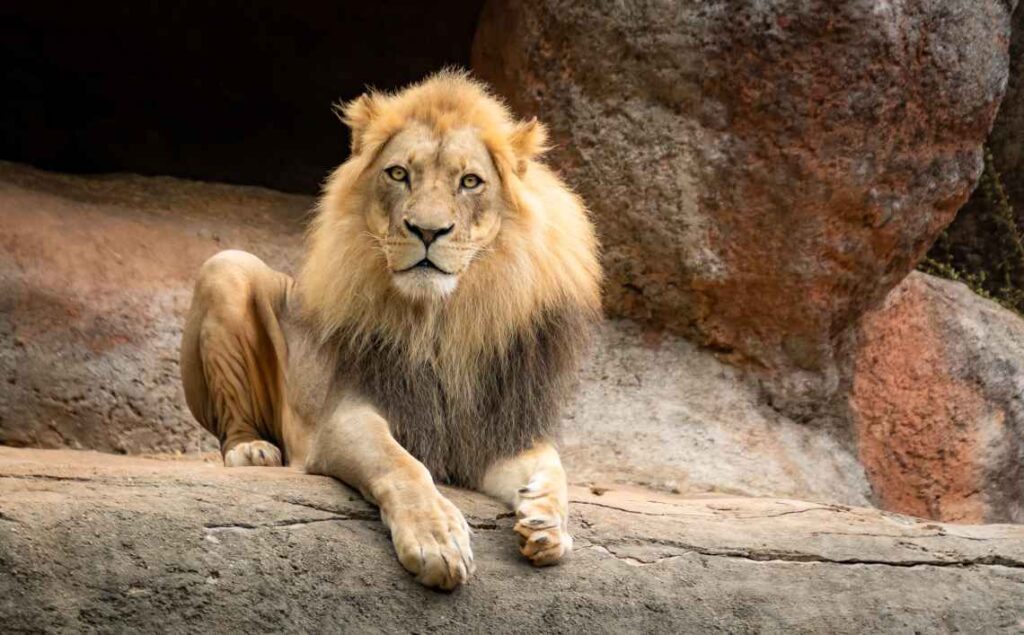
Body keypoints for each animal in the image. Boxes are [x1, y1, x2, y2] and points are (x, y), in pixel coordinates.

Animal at [181, 71, 602, 594]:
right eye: (399, 174)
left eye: (470, 181)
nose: (427, 230)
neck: (444, 323)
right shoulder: (346, 417)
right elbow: (400, 464)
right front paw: (437, 539)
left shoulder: (498, 430)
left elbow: (553, 466)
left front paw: (547, 522)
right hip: (227, 267)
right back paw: (251, 450)